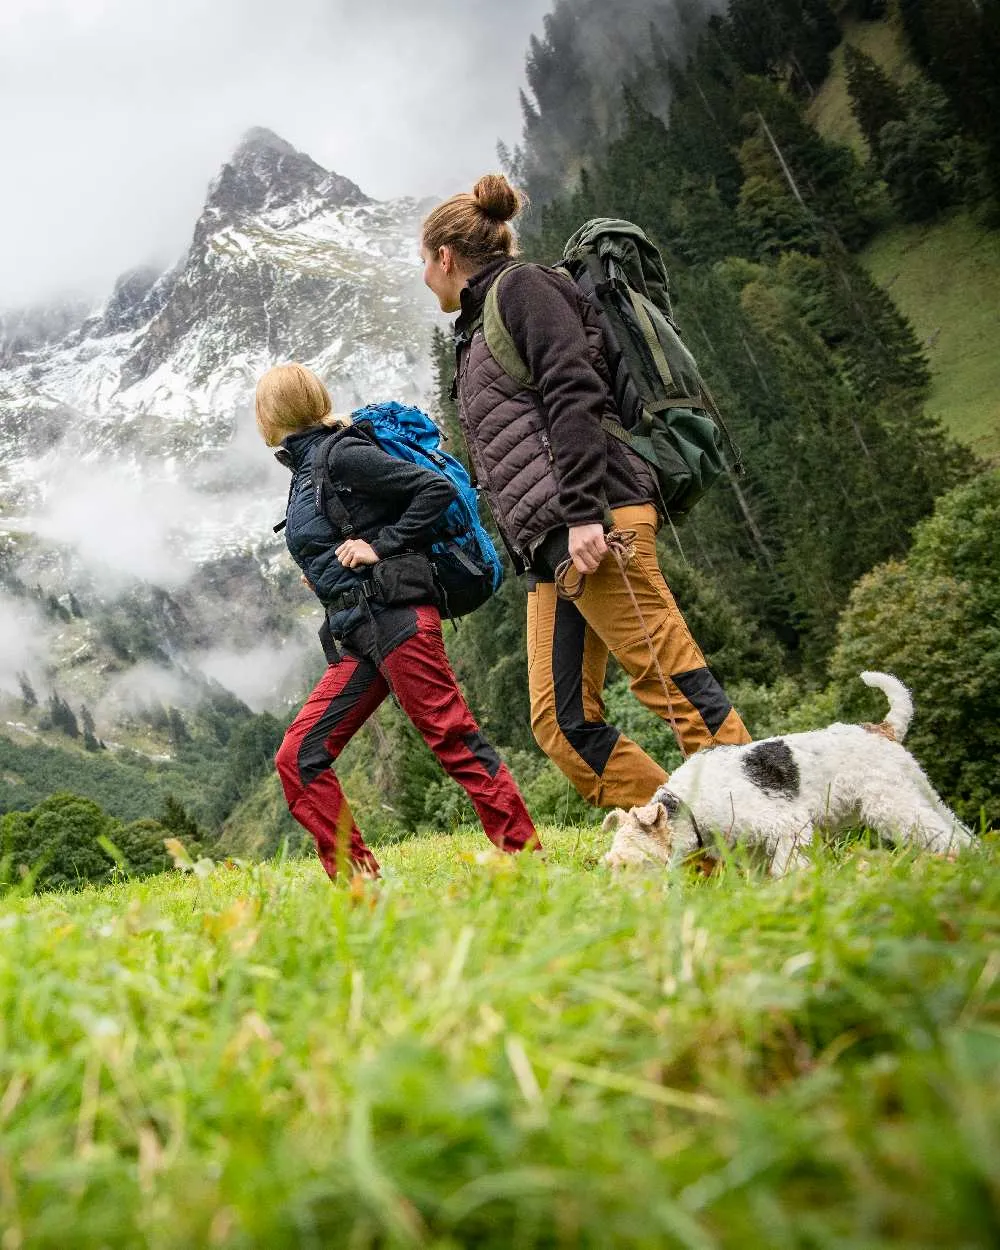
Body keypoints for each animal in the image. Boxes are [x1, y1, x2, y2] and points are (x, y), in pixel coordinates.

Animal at [605, 670, 975, 875]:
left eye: (627, 863)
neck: (689, 804)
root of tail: (882, 728)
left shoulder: (787, 827)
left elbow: (786, 868)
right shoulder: (753, 848)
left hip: (890, 804)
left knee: (943, 834)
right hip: (919, 790)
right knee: (959, 829)